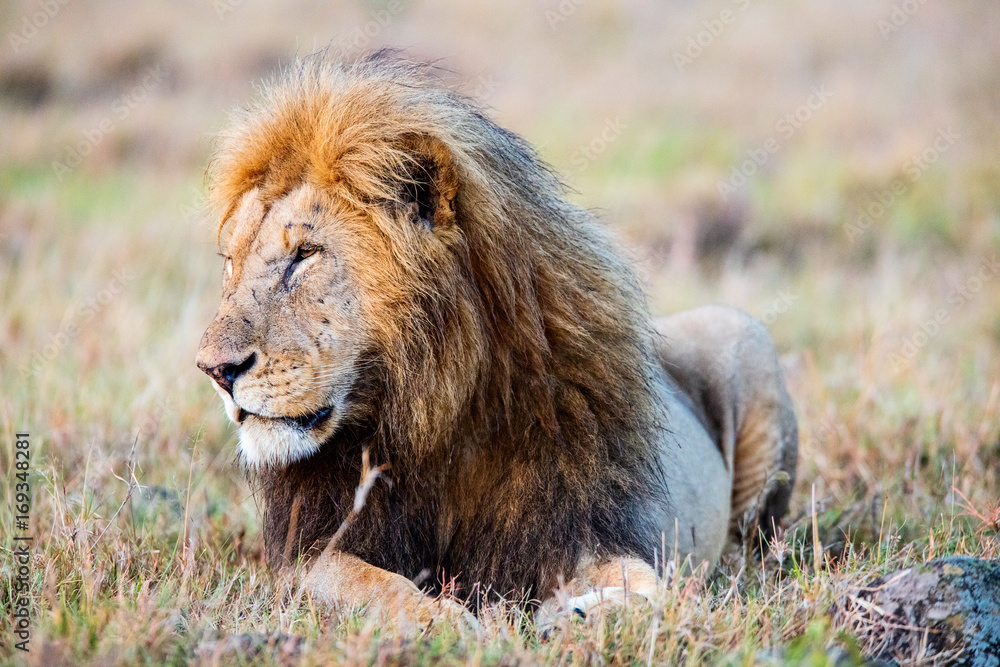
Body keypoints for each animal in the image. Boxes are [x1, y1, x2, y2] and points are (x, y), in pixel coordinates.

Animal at [195, 50, 798, 628]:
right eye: (230, 263)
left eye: (305, 254)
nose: (215, 370)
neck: (431, 410)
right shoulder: (305, 556)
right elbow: (367, 585)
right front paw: (446, 621)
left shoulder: (577, 527)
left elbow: (648, 585)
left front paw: (586, 614)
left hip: (744, 335)